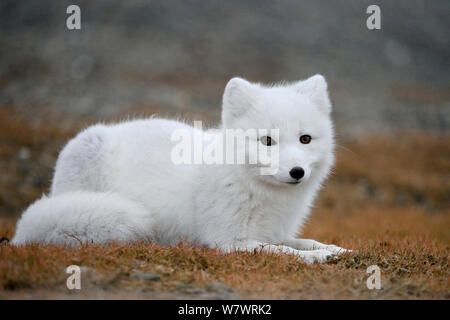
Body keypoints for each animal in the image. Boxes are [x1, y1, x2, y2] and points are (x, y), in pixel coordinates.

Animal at [9, 74, 348, 262]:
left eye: (305, 139)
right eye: (267, 141)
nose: (297, 172)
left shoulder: (275, 232)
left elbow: (302, 242)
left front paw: (336, 249)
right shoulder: (229, 242)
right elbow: (285, 252)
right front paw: (319, 258)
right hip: (87, 153)